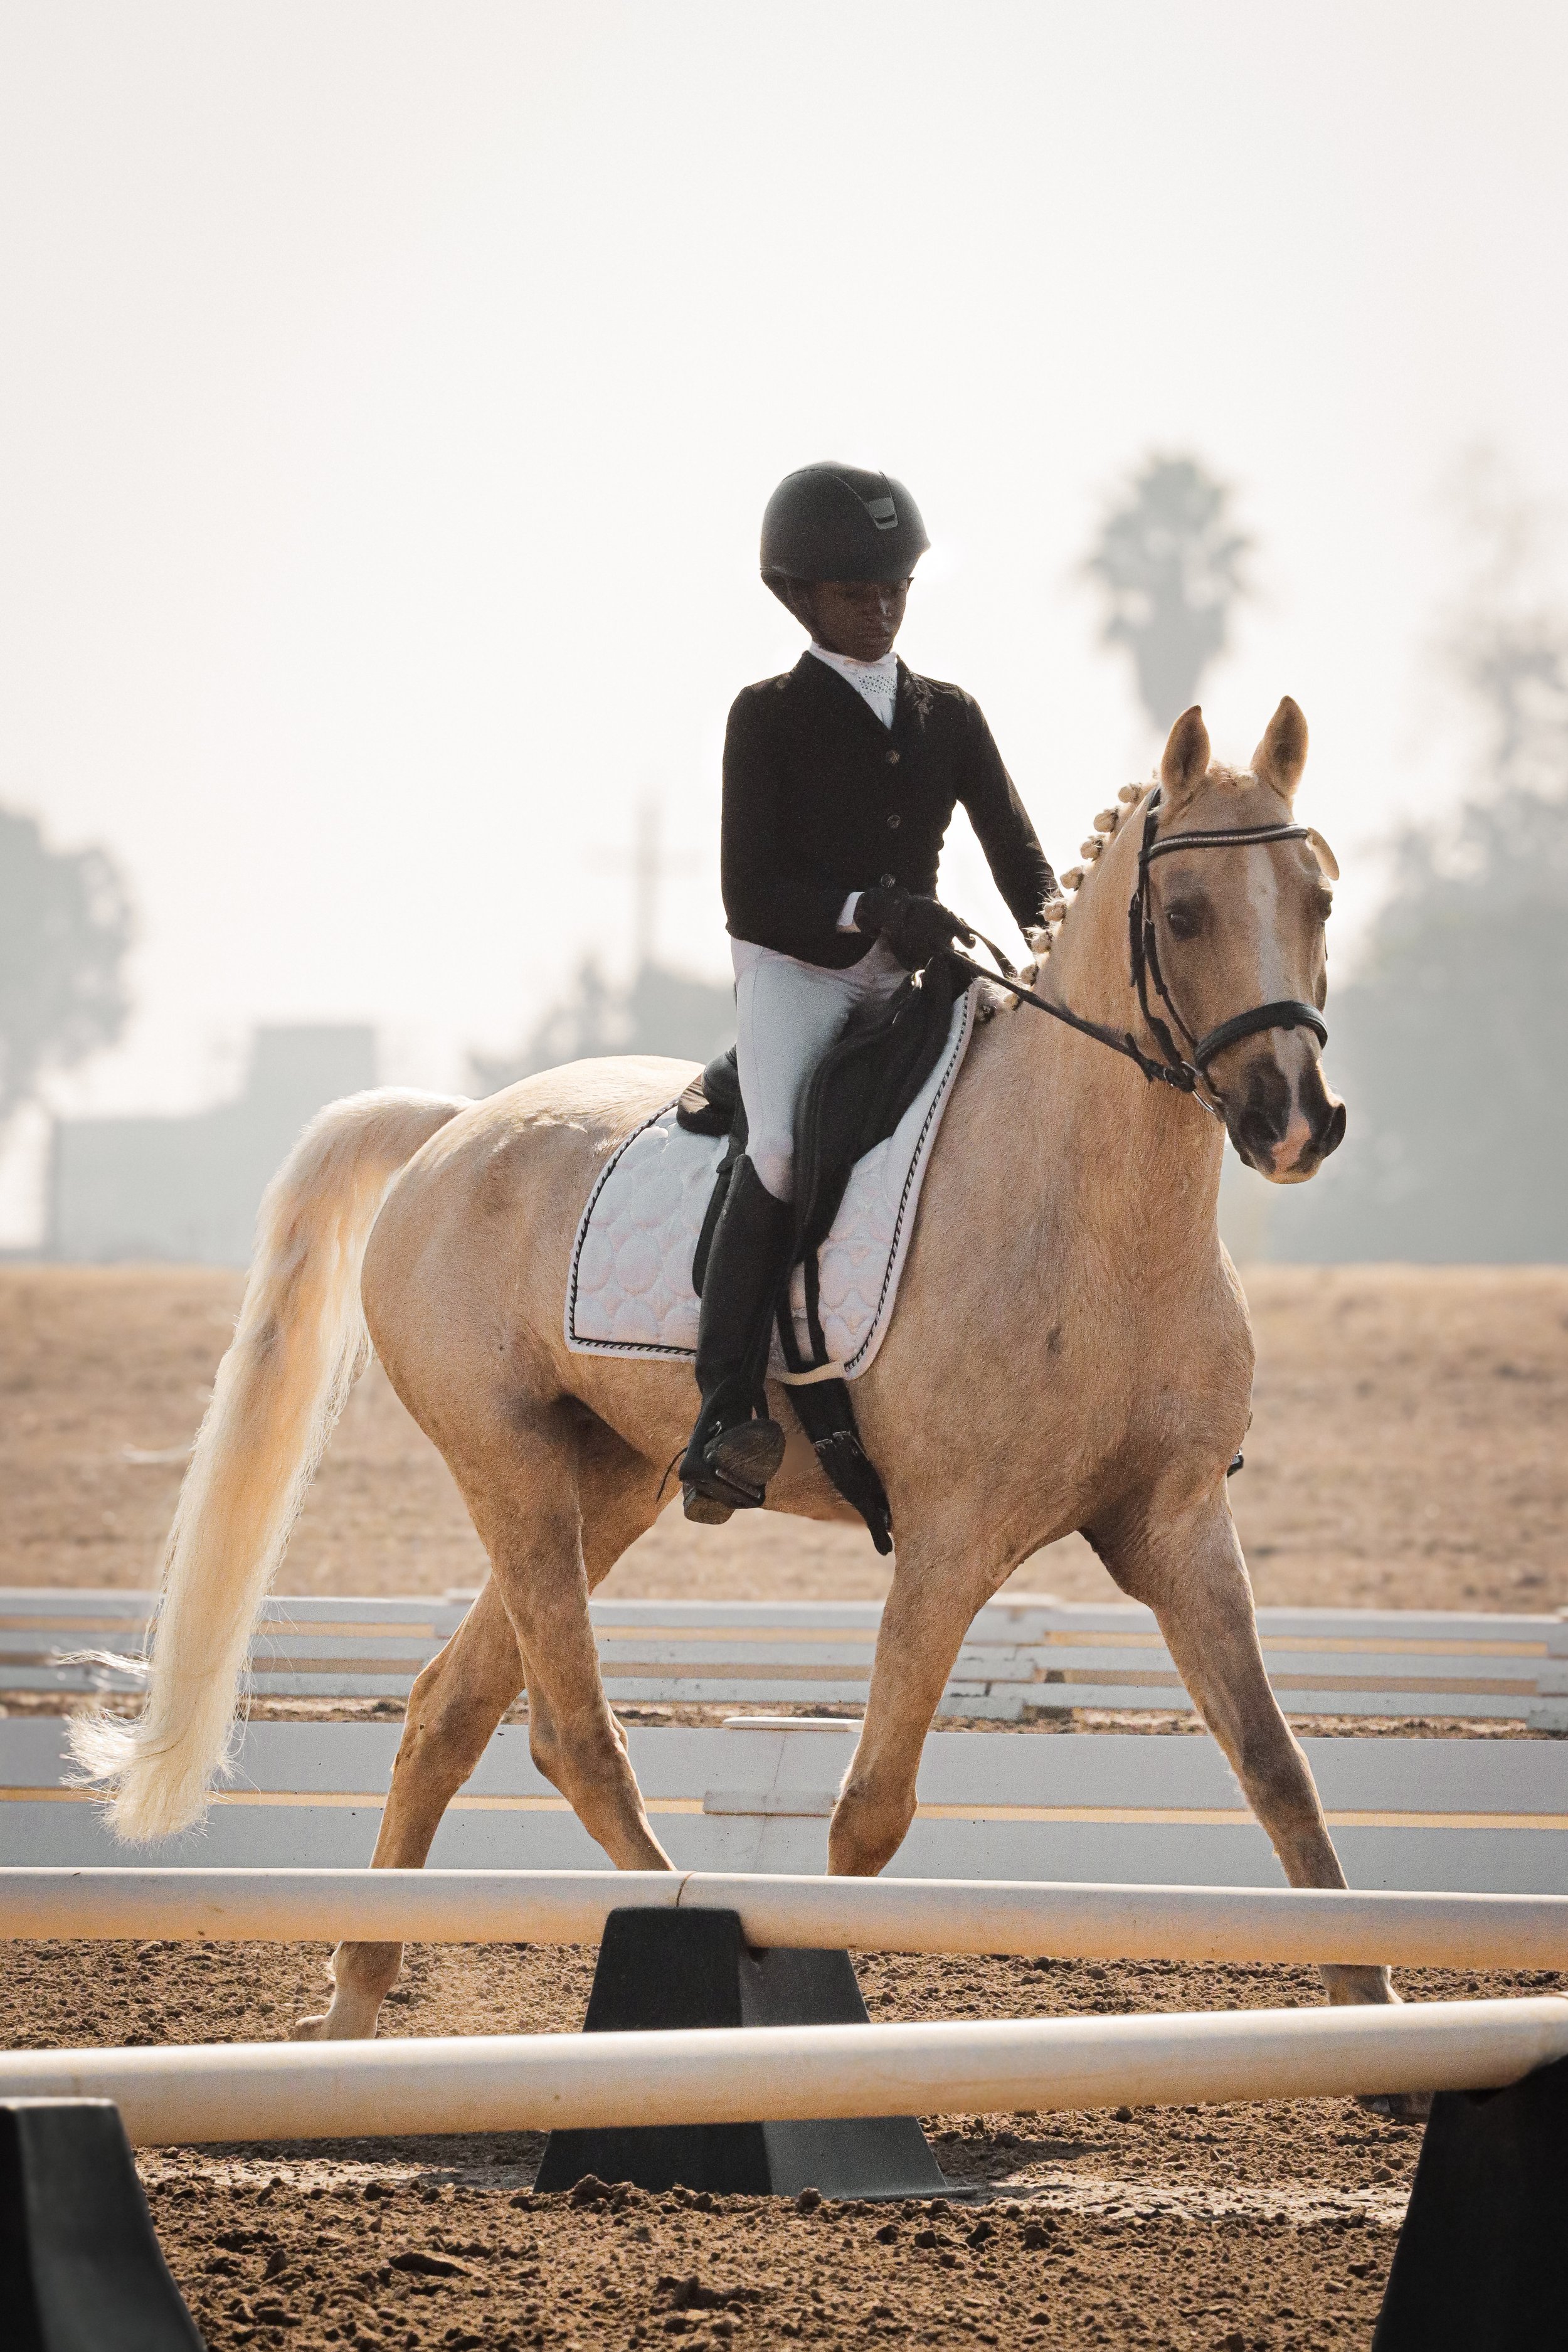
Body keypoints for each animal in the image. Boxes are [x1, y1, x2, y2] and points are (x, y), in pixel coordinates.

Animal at [74, 698, 1378, 2046]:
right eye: (1185, 913)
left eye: (1322, 897)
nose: (1293, 1120)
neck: (1096, 1213)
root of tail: (453, 1126)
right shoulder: (951, 1541)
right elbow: (871, 1811)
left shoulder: (1177, 1523)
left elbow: (1279, 1770)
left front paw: (1373, 2015)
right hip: (508, 1463)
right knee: (574, 1738)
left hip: (609, 1484)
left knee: (450, 1710)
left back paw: (353, 2010)